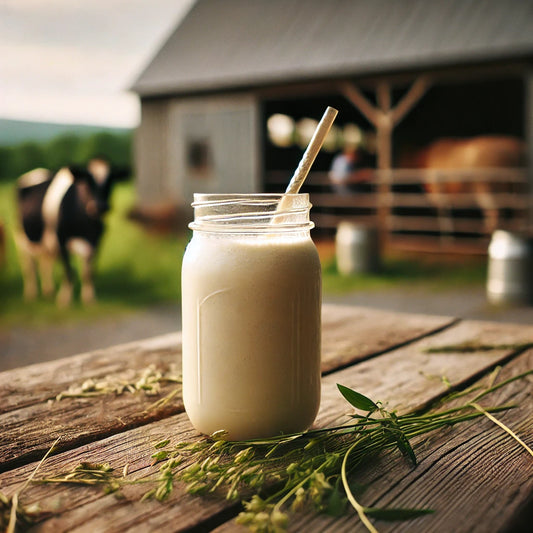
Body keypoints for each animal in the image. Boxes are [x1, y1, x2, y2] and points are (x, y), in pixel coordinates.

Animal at [14, 158, 123, 306]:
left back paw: (48, 291)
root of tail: (35, 172)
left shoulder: (96, 242)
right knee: (29, 266)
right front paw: (65, 300)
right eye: (87, 180)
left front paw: (89, 299)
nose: (100, 207)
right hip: (22, 239)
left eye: (111, 180)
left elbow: (88, 272)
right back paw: (31, 293)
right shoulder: (62, 241)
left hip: (45, 244)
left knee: (45, 263)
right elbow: (69, 270)